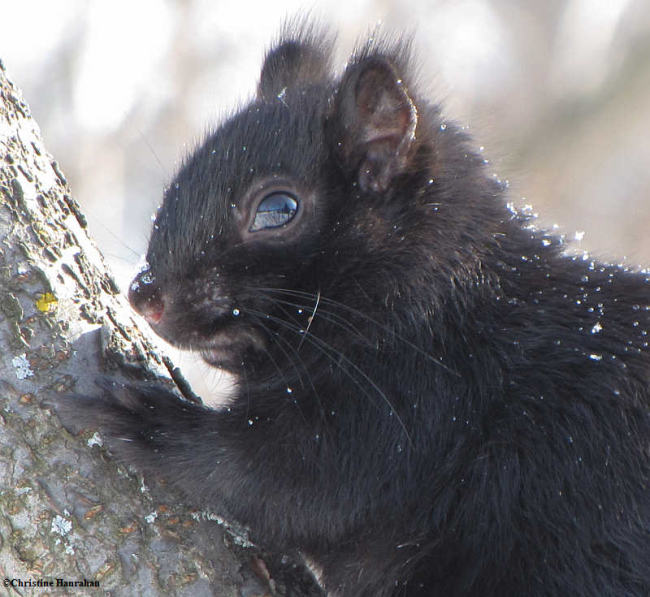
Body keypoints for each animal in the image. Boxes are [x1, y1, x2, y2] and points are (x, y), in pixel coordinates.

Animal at [58, 24, 644, 596]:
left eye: (277, 208)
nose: (145, 295)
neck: (438, 303)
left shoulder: (417, 401)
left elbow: (281, 480)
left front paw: (137, 411)